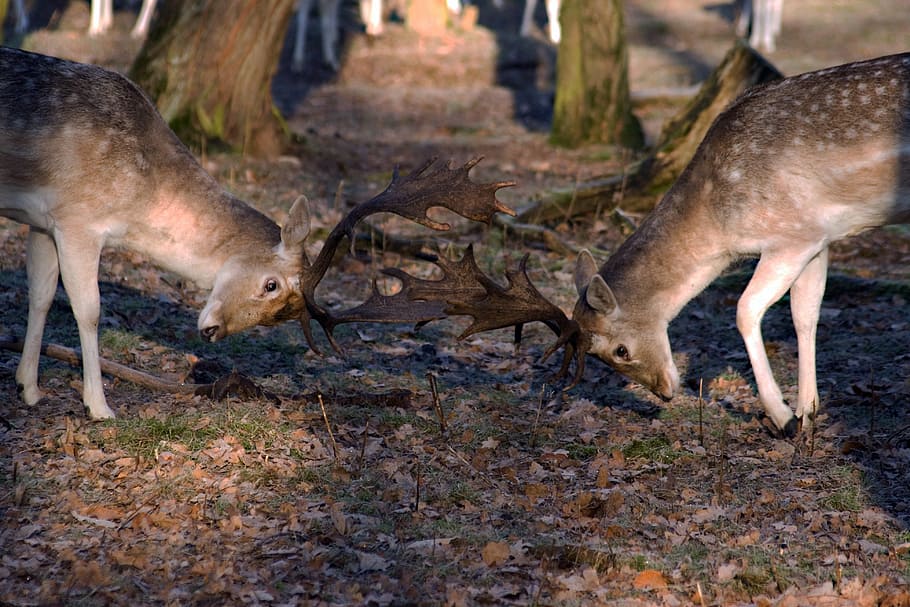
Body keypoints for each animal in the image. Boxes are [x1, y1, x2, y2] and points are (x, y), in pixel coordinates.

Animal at [0, 46, 519, 420]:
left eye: (280, 317)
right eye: (271, 285)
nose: (211, 331)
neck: (139, 193)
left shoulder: (43, 221)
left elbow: (40, 295)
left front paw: (29, 388)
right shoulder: (78, 217)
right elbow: (88, 309)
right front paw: (100, 407)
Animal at [571, 52, 910, 437]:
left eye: (620, 350)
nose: (664, 393)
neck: (721, 229)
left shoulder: (791, 235)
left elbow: (745, 310)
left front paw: (783, 417)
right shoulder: (818, 238)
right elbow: (804, 315)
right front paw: (806, 412)